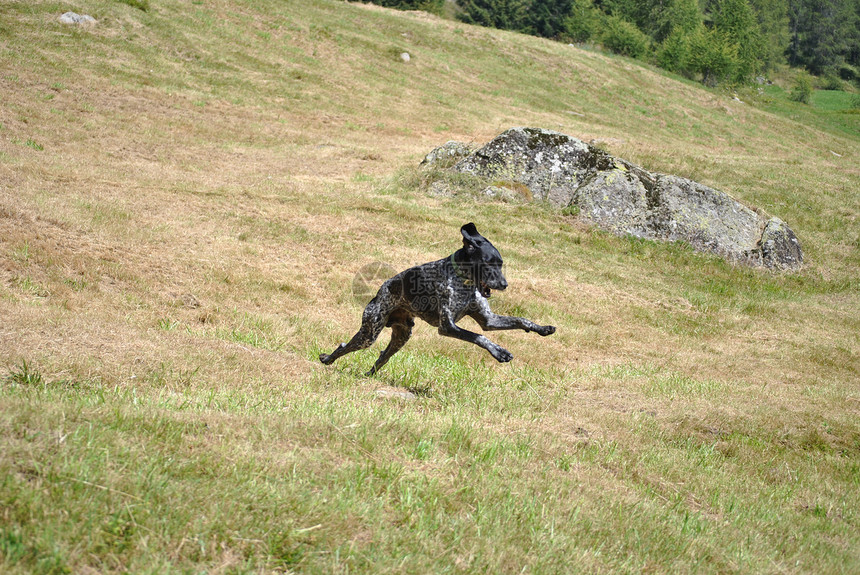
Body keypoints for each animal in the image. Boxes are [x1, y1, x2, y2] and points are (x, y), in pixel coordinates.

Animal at [320, 223, 556, 376]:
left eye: (501, 263)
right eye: (489, 263)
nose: (505, 284)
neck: (463, 281)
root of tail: (379, 292)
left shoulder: (488, 320)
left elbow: (520, 320)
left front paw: (543, 328)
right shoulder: (448, 326)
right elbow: (479, 337)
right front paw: (499, 352)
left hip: (401, 336)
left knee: (382, 356)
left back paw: (369, 375)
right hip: (369, 333)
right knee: (344, 346)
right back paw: (327, 359)